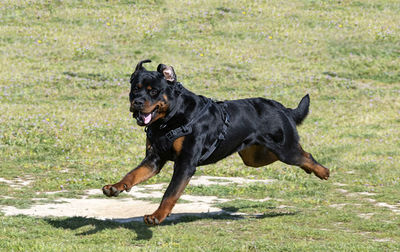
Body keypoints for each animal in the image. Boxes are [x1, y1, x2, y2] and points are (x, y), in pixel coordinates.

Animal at [102, 59, 328, 224]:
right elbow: (132, 174)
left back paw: (322, 171)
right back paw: (311, 170)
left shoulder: (185, 163)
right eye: (135, 89)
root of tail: (283, 108)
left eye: (153, 91)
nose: (137, 102)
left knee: (304, 155)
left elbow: (170, 193)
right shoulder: (154, 159)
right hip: (255, 157)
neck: (169, 120)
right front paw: (115, 187)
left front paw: (157, 216)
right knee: (294, 156)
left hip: (284, 149)